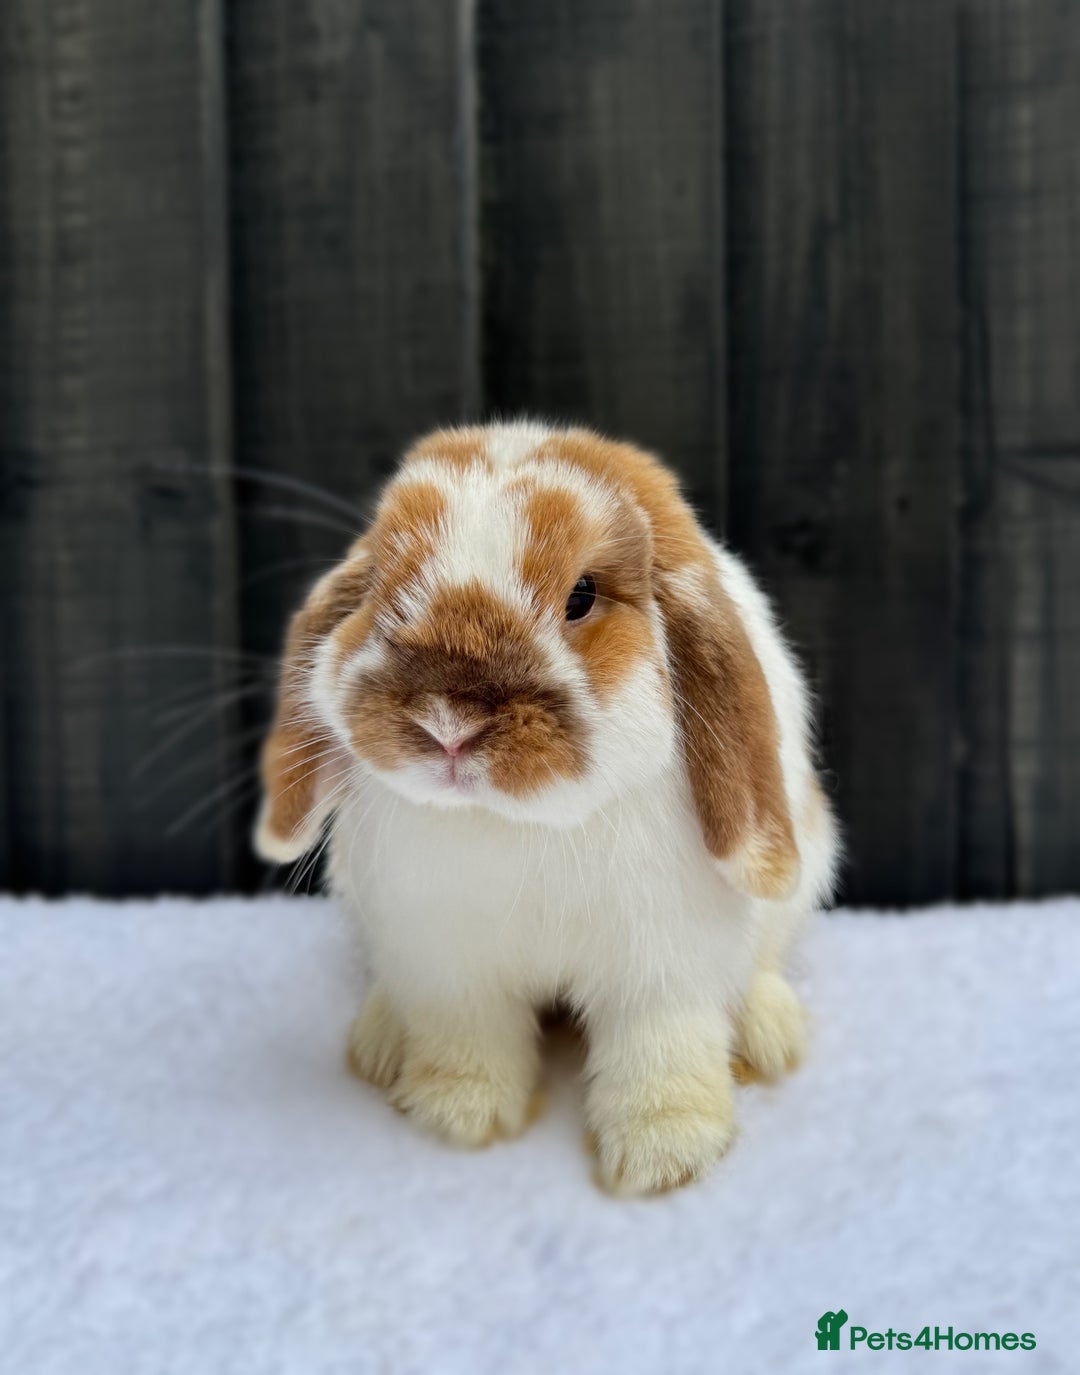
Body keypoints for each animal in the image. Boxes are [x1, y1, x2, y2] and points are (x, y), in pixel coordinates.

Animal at [254, 421, 839, 1193]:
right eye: (380, 584)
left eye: (582, 596)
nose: (448, 724)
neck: (520, 823)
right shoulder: (449, 963)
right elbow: (468, 1040)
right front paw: (459, 1115)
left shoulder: (662, 967)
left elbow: (661, 1050)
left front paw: (663, 1154)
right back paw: (380, 1040)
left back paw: (770, 1033)